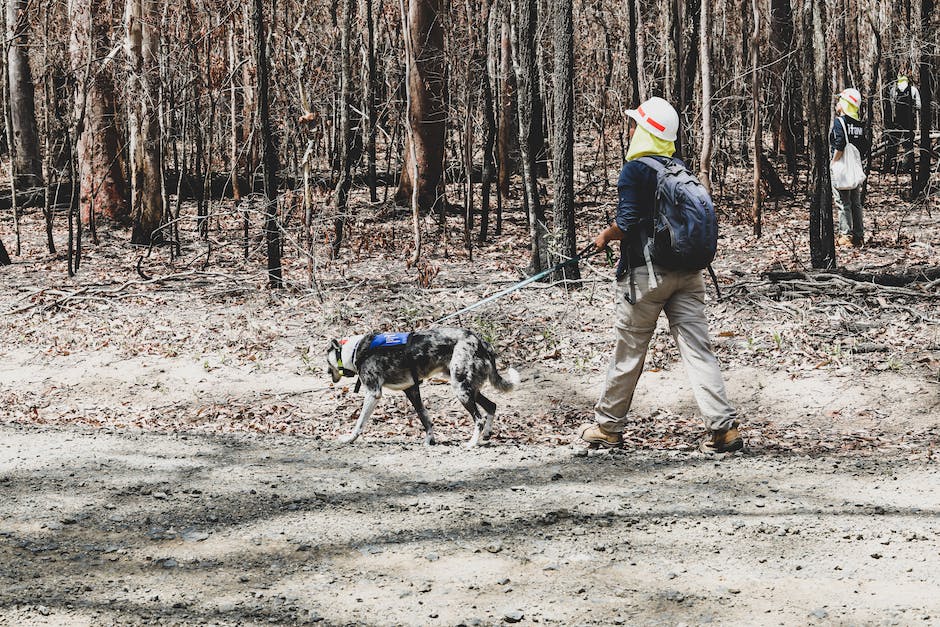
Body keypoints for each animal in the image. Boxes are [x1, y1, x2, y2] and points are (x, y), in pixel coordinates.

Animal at [326, 328, 520, 446]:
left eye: (326, 361)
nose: (328, 373)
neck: (355, 351)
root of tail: (480, 341)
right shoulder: (412, 390)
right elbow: (425, 418)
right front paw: (430, 440)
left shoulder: (373, 393)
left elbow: (359, 422)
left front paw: (349, 439)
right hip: (470, 389)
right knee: (491, 406)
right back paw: (486, 434)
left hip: (461, 390)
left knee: (478, 418)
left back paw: (472, 443)